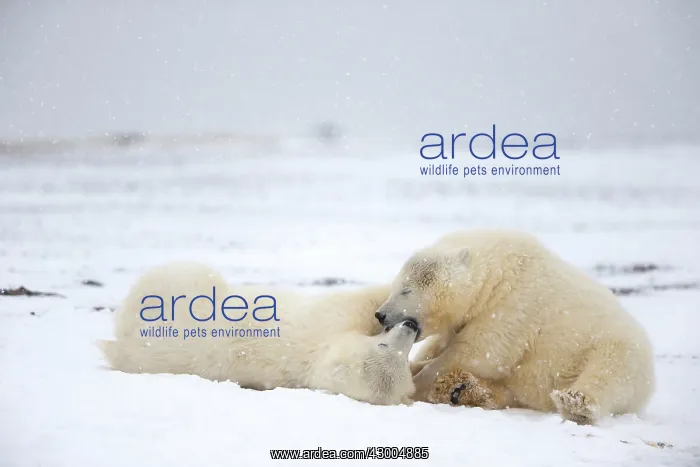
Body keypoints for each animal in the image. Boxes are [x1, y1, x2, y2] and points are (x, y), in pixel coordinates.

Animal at [100, 262, 419, 405]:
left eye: (403, 363)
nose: (411, 327)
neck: (311, 362)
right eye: (384, 348)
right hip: (180, 291)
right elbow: (358, 302)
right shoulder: (325, 325)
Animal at [374, 229, 655, 424]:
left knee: (608, 372)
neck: (495, 272)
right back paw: (463, 389)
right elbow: (442, 345)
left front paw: (415, 381)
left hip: (617, 349)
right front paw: (415, 365)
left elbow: (477, 352)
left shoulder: (512, 306)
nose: (380, 314)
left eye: (406, 290)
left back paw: (576, 403)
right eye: (395, 286)